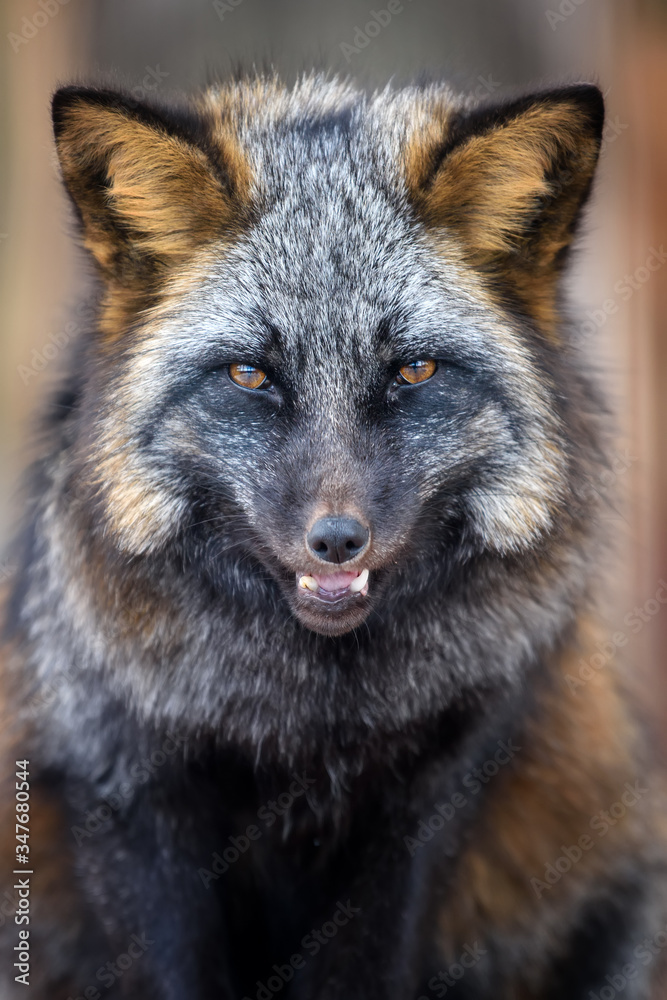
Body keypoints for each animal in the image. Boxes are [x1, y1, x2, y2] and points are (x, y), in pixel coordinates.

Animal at [1, 74, 667, 996]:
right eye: (250, 374)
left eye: (413, 370)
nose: (337, 540)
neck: (310, 722)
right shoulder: (125, 785)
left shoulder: (430, 799)